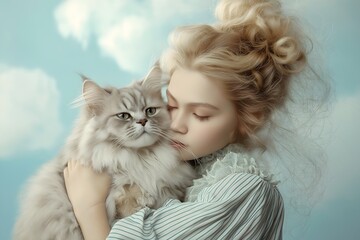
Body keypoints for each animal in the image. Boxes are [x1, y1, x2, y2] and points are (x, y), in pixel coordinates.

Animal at [12, 65, 197, 240]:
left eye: (150, 111)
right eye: (123, 116)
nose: (143, 121)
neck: (141, 158)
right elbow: (127, 201)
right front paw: (139, 197)